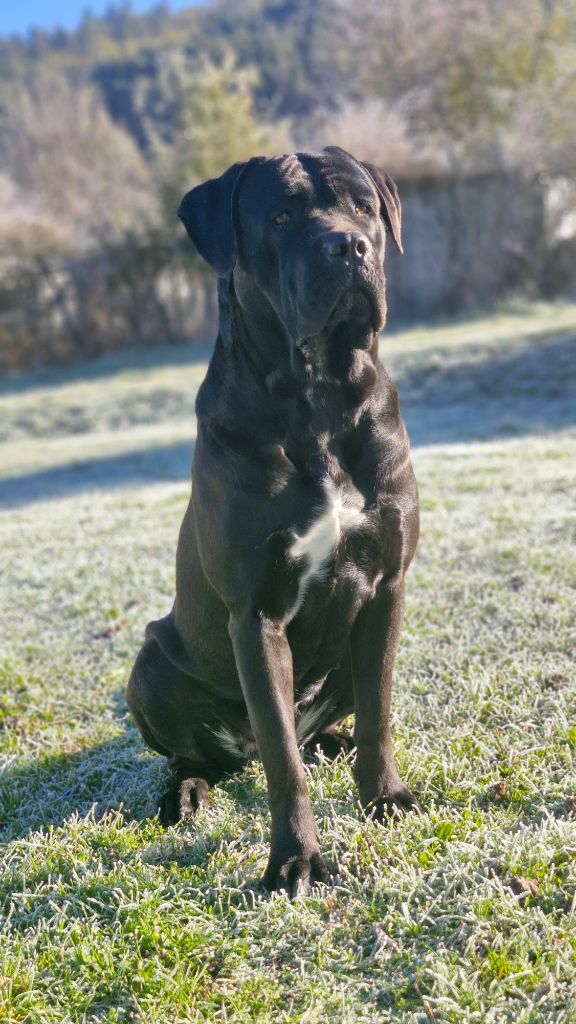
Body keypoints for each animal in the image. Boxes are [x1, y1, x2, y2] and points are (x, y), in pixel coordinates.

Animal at [126, 144, 416, 897]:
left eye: (364, 208)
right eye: (282, 217)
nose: (349, 246)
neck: (319, 399)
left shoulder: (387, 588)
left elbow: (378, 711)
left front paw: (384, 798)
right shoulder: (255, 616)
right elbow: (284, 762)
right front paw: (296, 860)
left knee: (320, 727)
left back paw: (333, 743)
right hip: (151, 662)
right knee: (209, 756)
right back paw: (187, 794)